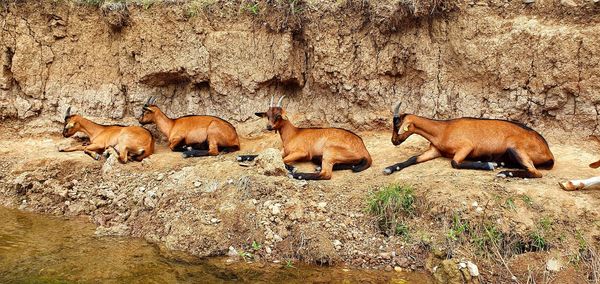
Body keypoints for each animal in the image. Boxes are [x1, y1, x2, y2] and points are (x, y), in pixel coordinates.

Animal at [384, 103, 552, 178]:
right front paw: (390, 168)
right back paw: (501, 165)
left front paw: (488, 165)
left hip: (516, 148)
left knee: (535, 172)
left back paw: (504, 172)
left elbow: (455, 163)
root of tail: (548, 152)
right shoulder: (435, 150)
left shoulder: (466, 146)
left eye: (398, 126)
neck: (443, 130)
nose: (393, 141)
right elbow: (412, 158)